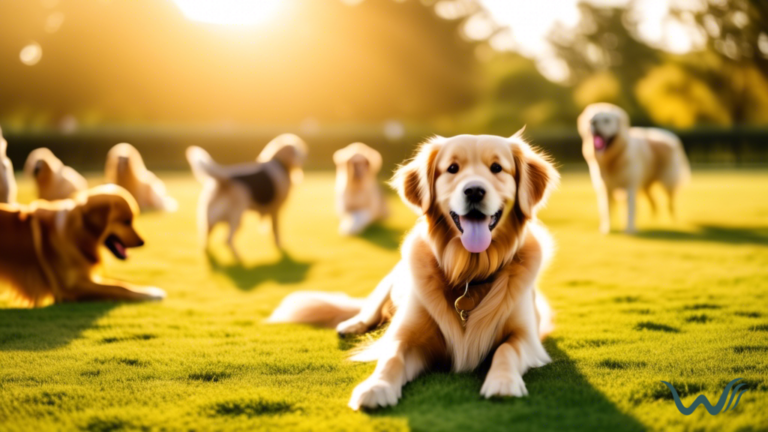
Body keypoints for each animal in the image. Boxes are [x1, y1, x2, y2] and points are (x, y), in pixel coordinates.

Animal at [0, 185, 166, 308]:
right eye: (126, 221)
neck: (77, 236)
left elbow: (117, 282)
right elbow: (117, 287)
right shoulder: (70, 288)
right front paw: (151, 293)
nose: (142, 242)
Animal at [270, 133, 560, 410]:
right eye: (452, 168)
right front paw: (376, 387)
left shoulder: (526, 338)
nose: (474, 191)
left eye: (497, 168)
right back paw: (352, 324)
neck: (468, 272)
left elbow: (506, 349)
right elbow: (392, 356)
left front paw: (503, 382)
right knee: (369, 310)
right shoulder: (409, 336)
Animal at [576, 103, 688, 235]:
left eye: (607, 120)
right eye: (591, 120)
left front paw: (629, 229)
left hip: (667, 182)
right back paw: (652, 221)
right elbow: (607, 211)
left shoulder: (630, 186)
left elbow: (630, 210)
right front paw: (607, 229)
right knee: (654, 203)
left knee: (671, 202)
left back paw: (673, 221)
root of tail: (670, 135)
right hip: (645, 185)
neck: (613, 160)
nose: (592, 122)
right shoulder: (606, 188)